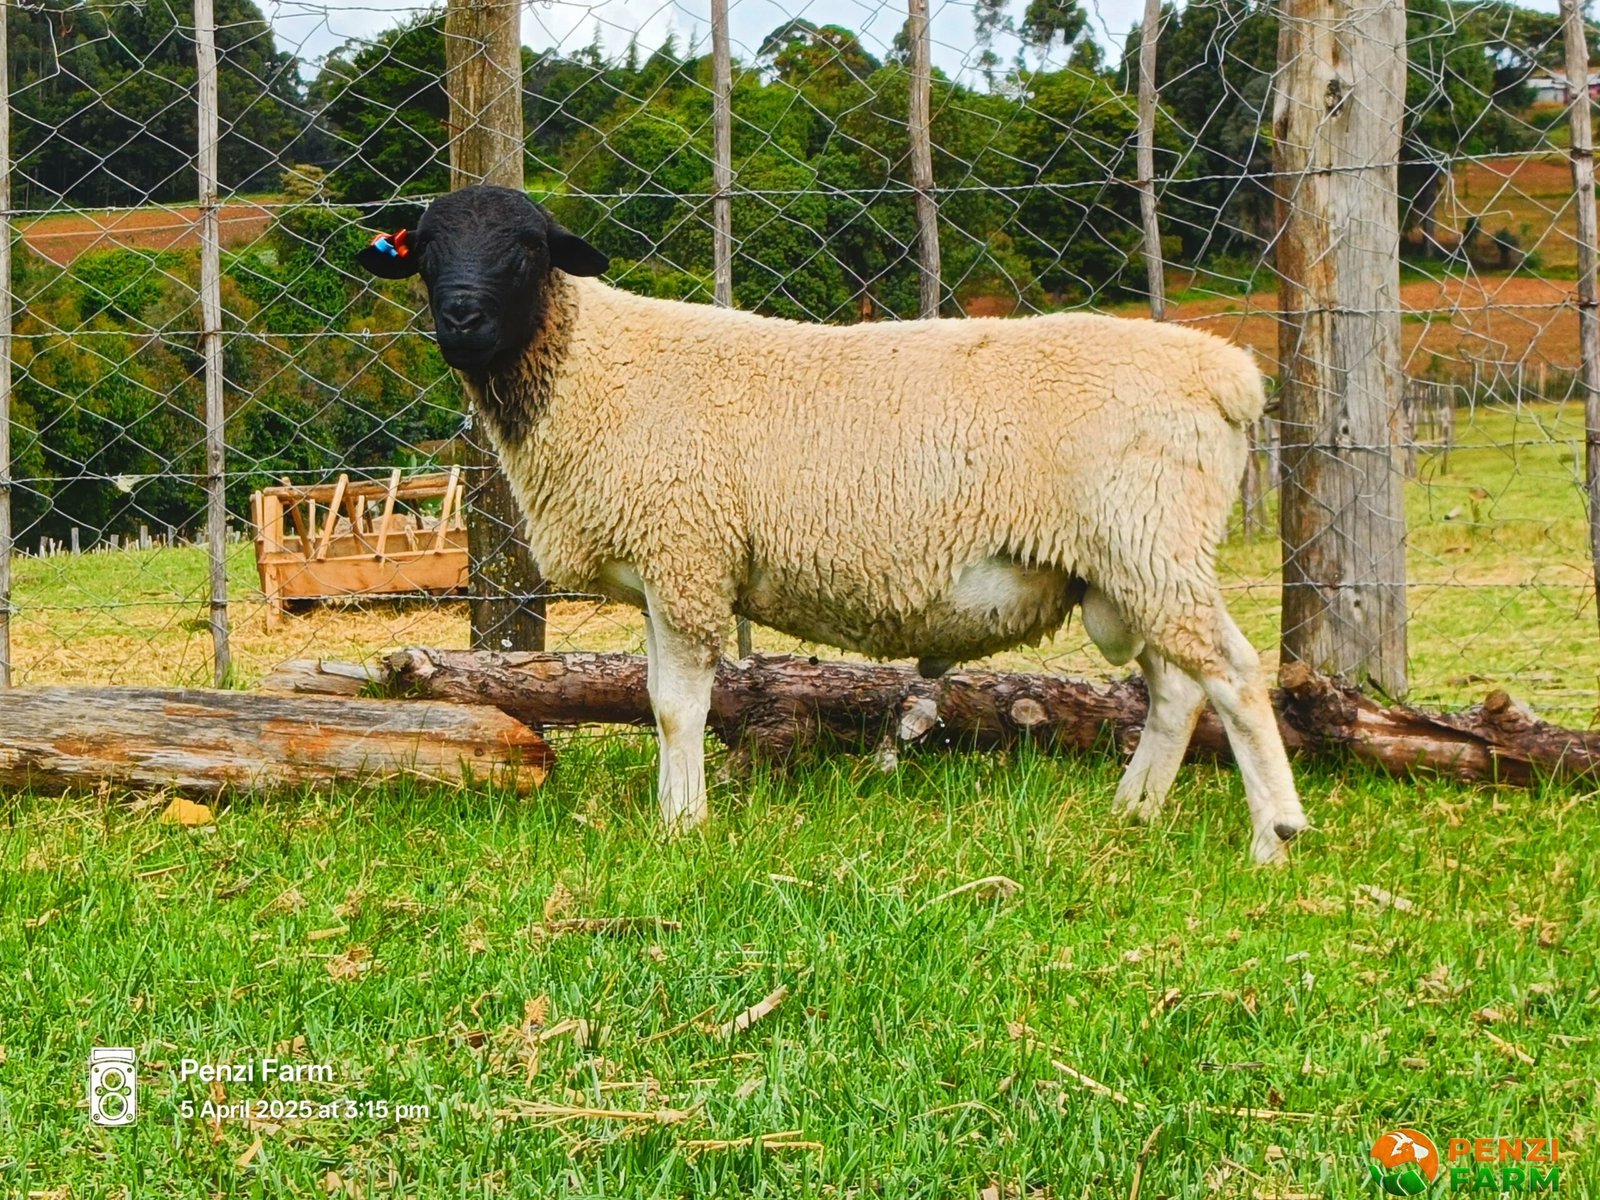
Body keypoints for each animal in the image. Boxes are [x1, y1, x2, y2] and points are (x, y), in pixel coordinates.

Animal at [358, 184, 1308, 864]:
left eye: (526, 250)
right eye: (426, 250)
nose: (461, 319)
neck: (588, 365)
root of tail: (1224, 373)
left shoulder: (688, 551)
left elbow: (678, 708)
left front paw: (686, 826)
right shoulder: (673, 566)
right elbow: (661, 703)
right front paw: (672, 818)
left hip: (1148, 538)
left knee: (1233, 674)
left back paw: (1273, 836)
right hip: (1130, 559)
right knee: (1179, 688)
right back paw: (1133, 814)